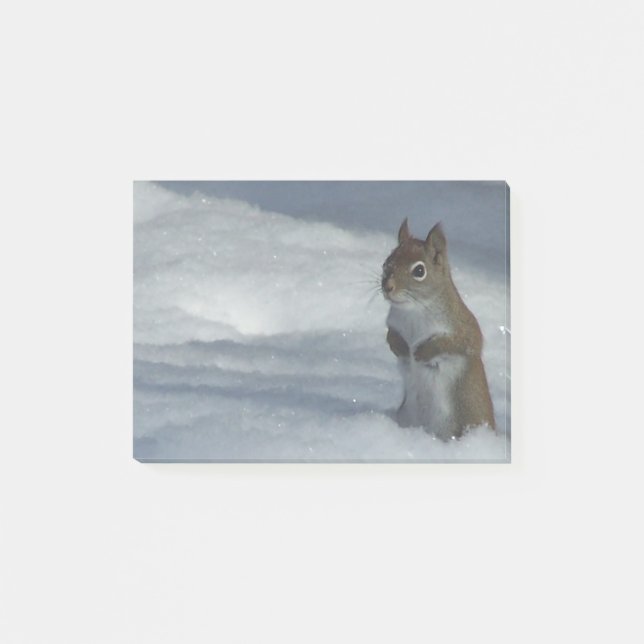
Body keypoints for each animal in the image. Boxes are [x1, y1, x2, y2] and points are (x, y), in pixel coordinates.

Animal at [382, 218, 495, 439]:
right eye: (386, 262)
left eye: (419, 271)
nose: (387, 287)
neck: (414, 310)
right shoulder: (393, 324)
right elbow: (390, 336)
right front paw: (401, 347)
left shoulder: (464, 328)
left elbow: (456, 344)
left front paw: (421, 352)